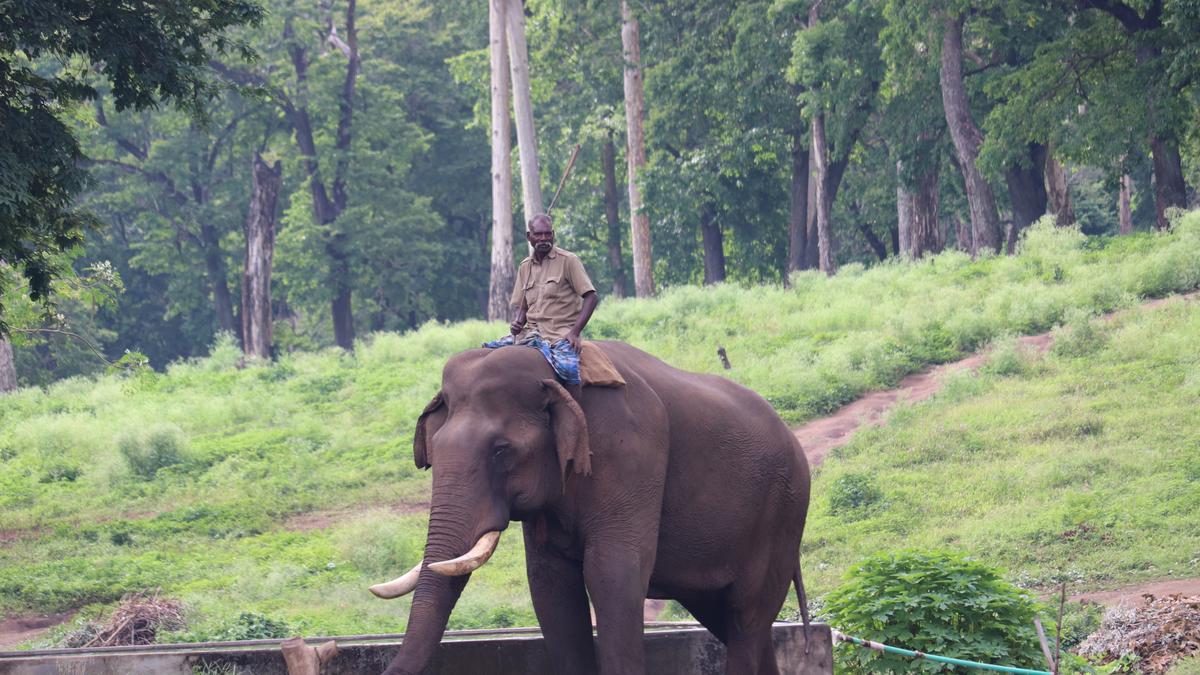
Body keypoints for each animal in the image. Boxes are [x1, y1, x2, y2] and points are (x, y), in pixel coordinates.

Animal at [369, 341, 811, 672]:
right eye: (435, 450)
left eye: (501, 450)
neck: (558, 377)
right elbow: (550, 587)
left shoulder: (632, 456)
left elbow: (610, 574)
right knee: (737, 622)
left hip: (783, 514)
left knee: (746, 616)